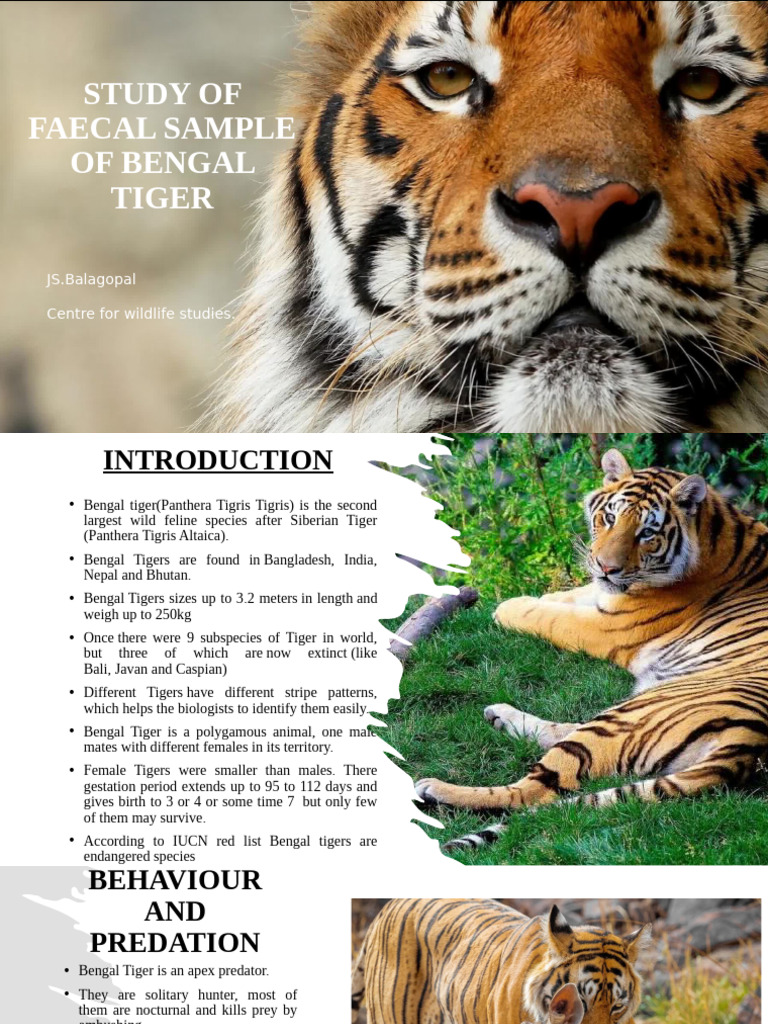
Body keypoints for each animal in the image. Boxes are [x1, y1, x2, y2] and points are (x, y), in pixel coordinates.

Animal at [415, 447, 768, 852]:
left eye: (647, 532)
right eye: (610, 518)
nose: (606, 567)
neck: (714, 530)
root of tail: (748, 744)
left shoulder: (607, 626)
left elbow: (550, 617)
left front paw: (507, 607)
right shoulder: (603, 596)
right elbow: (566, 597)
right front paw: (539, 597)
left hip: (632, 714)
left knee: (534, 792)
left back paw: (435, 788)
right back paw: (499, 715)